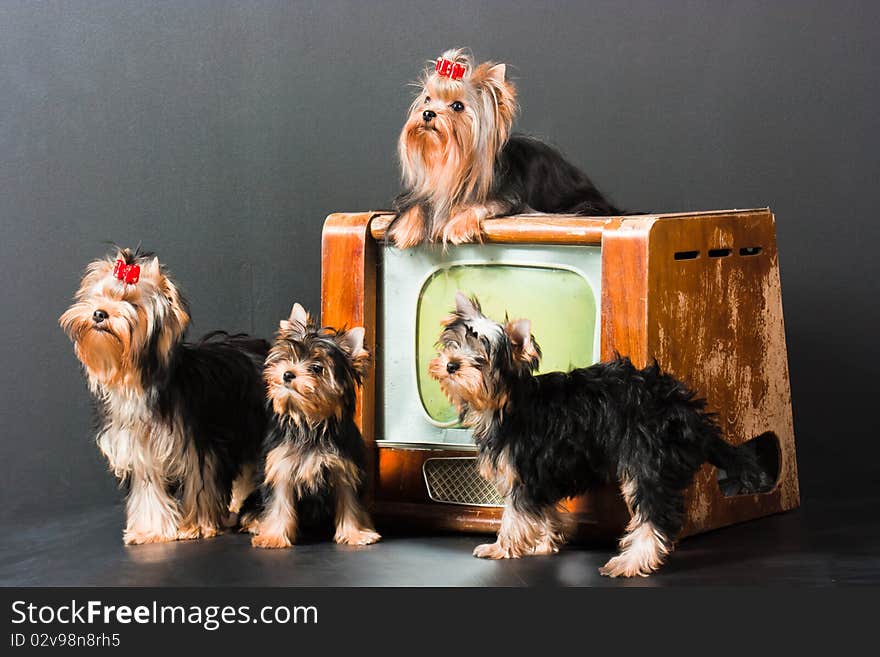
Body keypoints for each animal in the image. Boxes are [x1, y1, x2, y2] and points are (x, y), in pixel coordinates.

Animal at [242, 304, 380, 548]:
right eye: (289, 357)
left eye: (317, 368)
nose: (287, 374)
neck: (309, 422)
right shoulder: (281, 467)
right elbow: (278, 503)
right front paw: (273, 536)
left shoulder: (344, 468)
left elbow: (349, 502)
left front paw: (355, 533)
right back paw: (257, 524)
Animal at [388, 48, 624, 249]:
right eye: (428, 99)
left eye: (457, 106)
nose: (427, 113)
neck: (453, 165)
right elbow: (417, 205)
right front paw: (405, 229)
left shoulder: (508, 198)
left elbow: (482, 205)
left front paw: (458, 226)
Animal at [428, 292, 768, 576]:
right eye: (454, 345)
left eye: (481, 359)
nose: (452, 365)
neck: (505, 403)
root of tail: (683, 408)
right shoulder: (543, 475)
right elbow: (543, 511)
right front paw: (545, 542)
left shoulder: (524, 470)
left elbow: (516, 513)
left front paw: (502, 547)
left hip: (647, 459)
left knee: (655, 514)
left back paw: (632, 562)